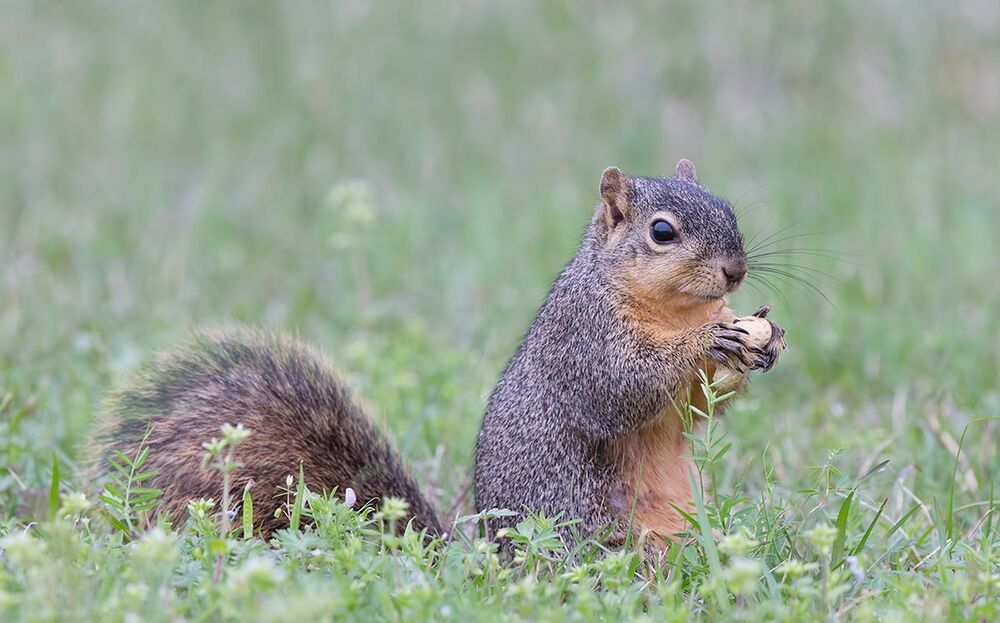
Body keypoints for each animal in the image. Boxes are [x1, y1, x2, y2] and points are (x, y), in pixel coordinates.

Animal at [88, 159, 785, 549]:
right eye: (661, 232)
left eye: (729, 209)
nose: (735, 269)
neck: (672, 309)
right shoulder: (582, 339)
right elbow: (622, 388)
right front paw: (708, 343)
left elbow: (693, 412)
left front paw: (761, 344)